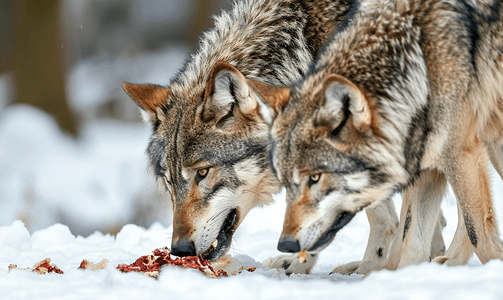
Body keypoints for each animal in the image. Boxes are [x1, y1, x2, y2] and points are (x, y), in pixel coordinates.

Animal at [249, 0, 503, 268]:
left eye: (315, 177)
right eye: (286, 182)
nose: (285, 244)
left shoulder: (461, 154)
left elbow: (479, 236)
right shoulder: (429, 167)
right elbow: (411, 239)